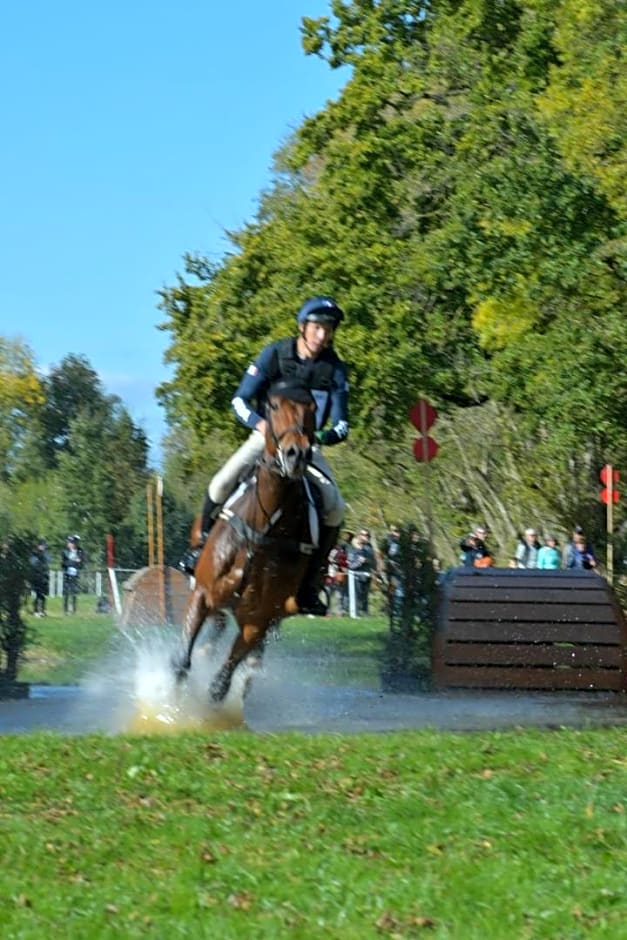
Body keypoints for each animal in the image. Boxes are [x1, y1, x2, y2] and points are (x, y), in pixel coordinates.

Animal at [173, 384, 316, 704]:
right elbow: (182, 663)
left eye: (312, 408)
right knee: (215, 628)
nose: (296, 454)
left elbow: (221, 684)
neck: (261, 529)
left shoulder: (257, 621)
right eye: (273, 406)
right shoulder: (202, 594)